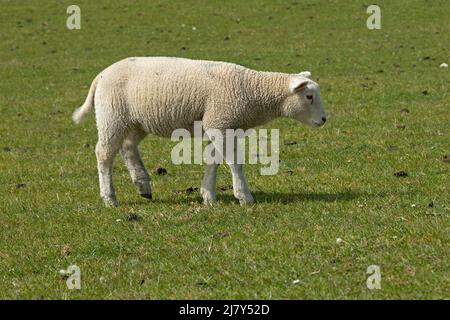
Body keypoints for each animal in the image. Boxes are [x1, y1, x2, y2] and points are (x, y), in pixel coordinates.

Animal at [74, 57, 326, 208]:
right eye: (309, 97)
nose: (324, 120)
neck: (251, 90)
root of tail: (101, 75)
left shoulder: (220, 124)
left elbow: (213, 160)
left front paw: (208, 196)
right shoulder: (220, 122)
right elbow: (234, 162)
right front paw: (244, 196)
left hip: (136, 121)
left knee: (128, 148)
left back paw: (143, 185)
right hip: (112, 117)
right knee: (104, 154)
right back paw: (109, 198)